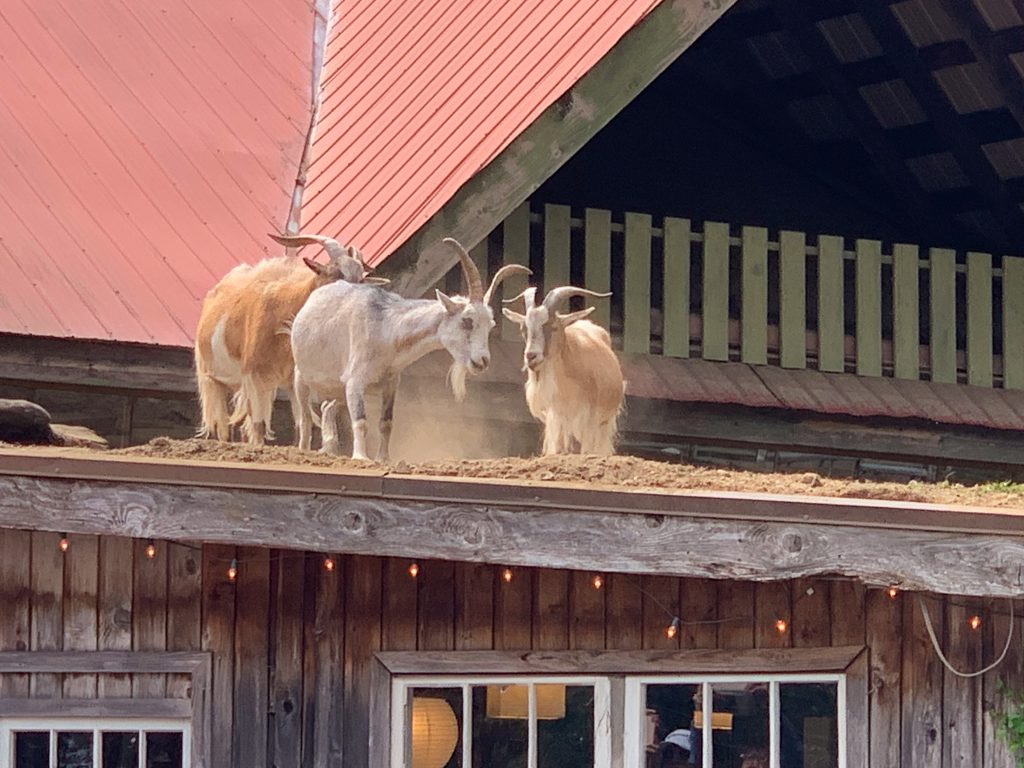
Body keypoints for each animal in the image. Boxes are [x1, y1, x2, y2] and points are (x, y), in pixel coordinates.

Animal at [194, 233, 387, 446]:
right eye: (336, 275)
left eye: (360, 279)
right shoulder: (252, 375)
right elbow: (258, 427)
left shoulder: (292, 381)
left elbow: (302, 424)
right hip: (213, 379)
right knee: (224, 427)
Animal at [290, 239, 530, 461]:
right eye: (467, 320)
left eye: (491, 325)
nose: (482, 361)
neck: (387, 328)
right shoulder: (355, 381)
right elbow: (361, 421)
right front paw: (361, 457)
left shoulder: (390, 383)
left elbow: (386, 423)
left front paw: (384, 458)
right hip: (302, 377)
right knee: (305, 416)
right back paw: (304, 449)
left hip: (337, 389)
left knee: (326, 408)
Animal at [502, 286, 625, 455]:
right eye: (523, 328)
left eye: (553, 326)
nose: (531, 356)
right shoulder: (556, 415)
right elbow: (558, 448)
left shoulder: (590, 418)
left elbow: (587, 449)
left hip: (604, 422)